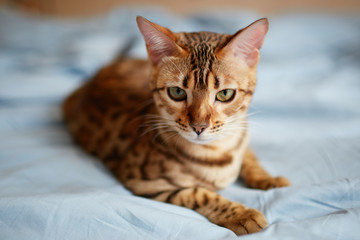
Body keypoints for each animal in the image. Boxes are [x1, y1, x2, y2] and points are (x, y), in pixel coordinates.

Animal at [63, 15, 292, 235]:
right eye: (177, 92)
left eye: (225, 94)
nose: (199, 126)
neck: (219, 150)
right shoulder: (145, 183)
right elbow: (200, 194)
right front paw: (241, 215)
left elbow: (250, 158)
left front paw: (268, 179)